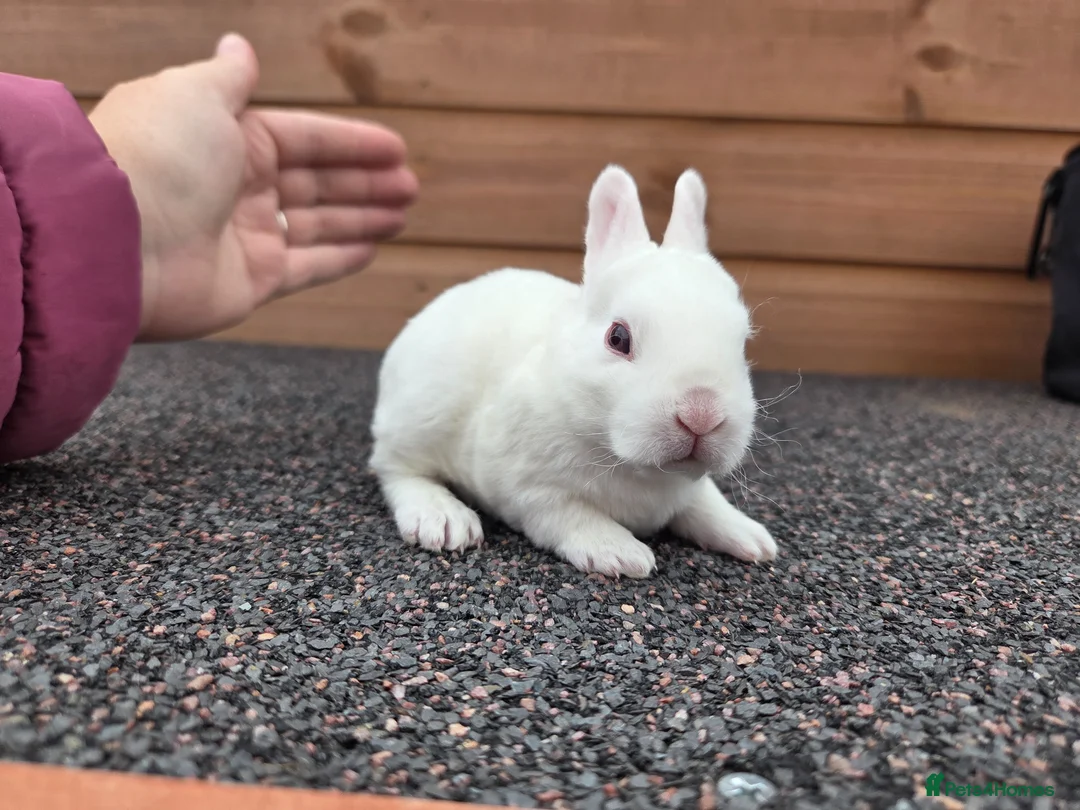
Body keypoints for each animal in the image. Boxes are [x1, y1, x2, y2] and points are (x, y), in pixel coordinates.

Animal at [368, 164, 777, 578]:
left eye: (742, 342)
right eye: (617, 337)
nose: (701, 416)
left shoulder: (690, 488)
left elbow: (705, 504)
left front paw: (752, 538)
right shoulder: (530, 490)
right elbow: (573, 516)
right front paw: (620, 554)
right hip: (420, 418)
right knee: (394, 468)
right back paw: (443, 519)